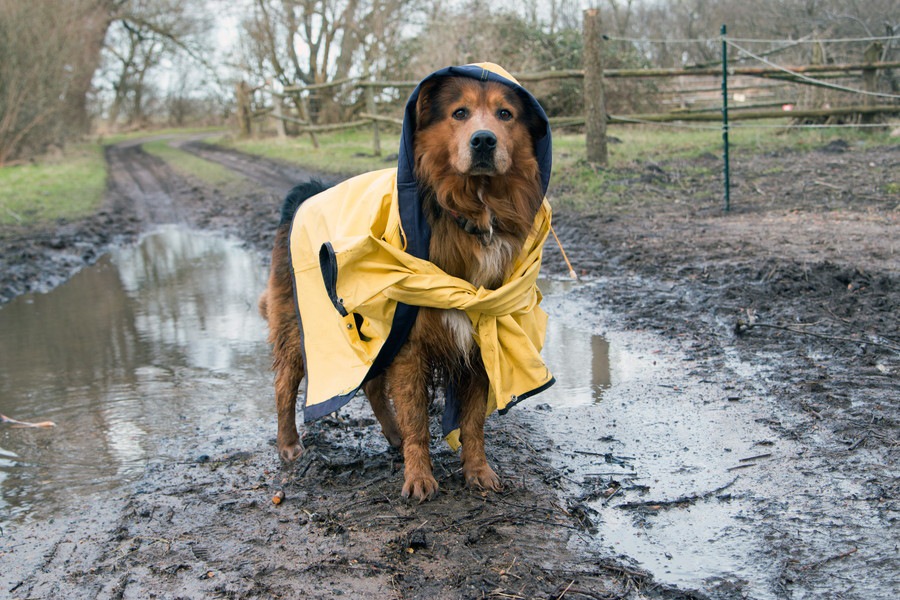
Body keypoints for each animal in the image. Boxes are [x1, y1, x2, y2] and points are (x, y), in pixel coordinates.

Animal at [256, 71, 544, 502]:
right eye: (460, 113)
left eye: (505, 114)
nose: (484, 140)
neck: (470, 214)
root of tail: (304, 194)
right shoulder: (411, 343)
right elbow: (418, 421)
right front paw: (419, 476)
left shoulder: (480, 337)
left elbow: (473, 422)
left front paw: (477, 471)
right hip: (297, 325)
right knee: (284, 384)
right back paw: (289, 443)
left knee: (373, 387)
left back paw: (391, 434)